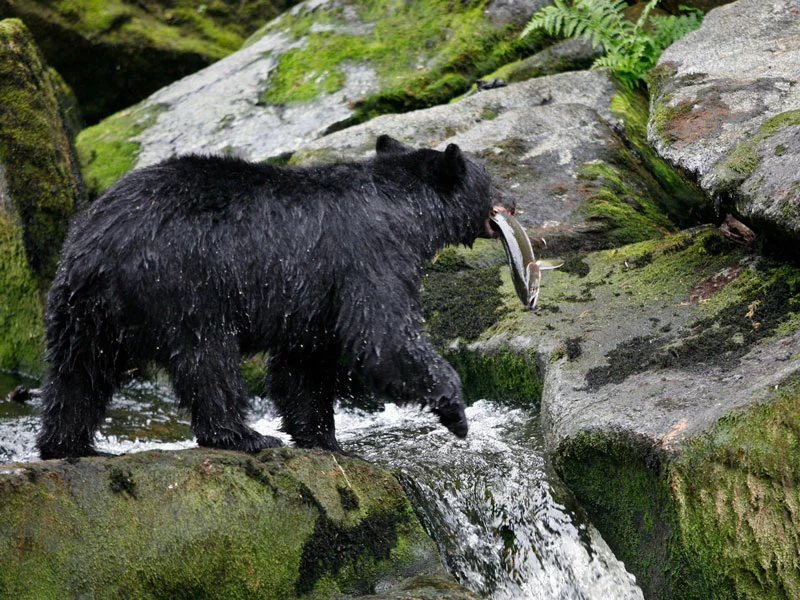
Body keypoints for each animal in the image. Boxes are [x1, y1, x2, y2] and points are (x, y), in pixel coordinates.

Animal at [39, 136, 500, 460]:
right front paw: (456, 412)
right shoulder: (369, 256)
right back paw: (244, 435)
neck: (403, 211)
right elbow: (384, 338)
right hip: (186, 286)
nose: (510, 204)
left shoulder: (312, 295)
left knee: (77, 375)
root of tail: (99, 249)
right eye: (493, 183)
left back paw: (68, 444)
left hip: (80, 309)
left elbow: (303, 364)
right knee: (208, 363)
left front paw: (323, 438)